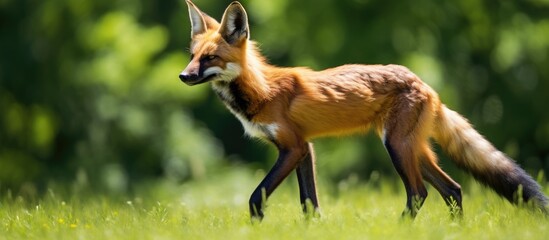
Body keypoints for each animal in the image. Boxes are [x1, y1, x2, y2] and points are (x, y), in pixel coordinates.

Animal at [178, 0, 544, 220]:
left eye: (210, 58)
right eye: (193, 56)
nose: (183, 76)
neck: (263, 90)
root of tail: (426, 84)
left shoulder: (292, 146)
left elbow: (257, 196)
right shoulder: (304, 148)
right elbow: (309, 204)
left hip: (397, 147)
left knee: (419, 193)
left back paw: (401, 229)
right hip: (414, 149)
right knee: (452, 190)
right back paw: (454, 230)